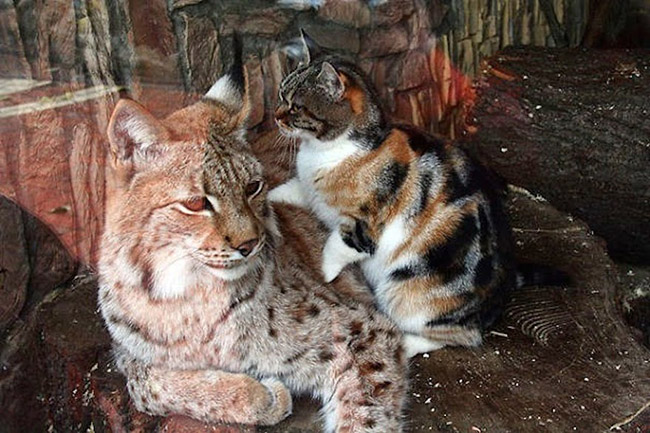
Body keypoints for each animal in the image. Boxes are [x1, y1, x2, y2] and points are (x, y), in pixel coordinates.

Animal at [98, 38, 404, 432]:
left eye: (253, 187)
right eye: (196, 204)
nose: (250, 245)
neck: (186, 293)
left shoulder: (362, 327)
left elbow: (363, 418)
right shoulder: (128, 355)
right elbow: (147, 387)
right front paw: (259, 394)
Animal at [268, 32, 560, 356]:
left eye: (296, 106)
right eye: (281, 93)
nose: (276, 116)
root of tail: (503, 287)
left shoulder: (365, 227)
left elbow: (337, 246)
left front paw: (325, 273)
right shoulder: (310, 191)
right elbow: (292, 189)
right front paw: (264, 196)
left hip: (406, 293)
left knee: (463, 336)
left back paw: (407, 341)